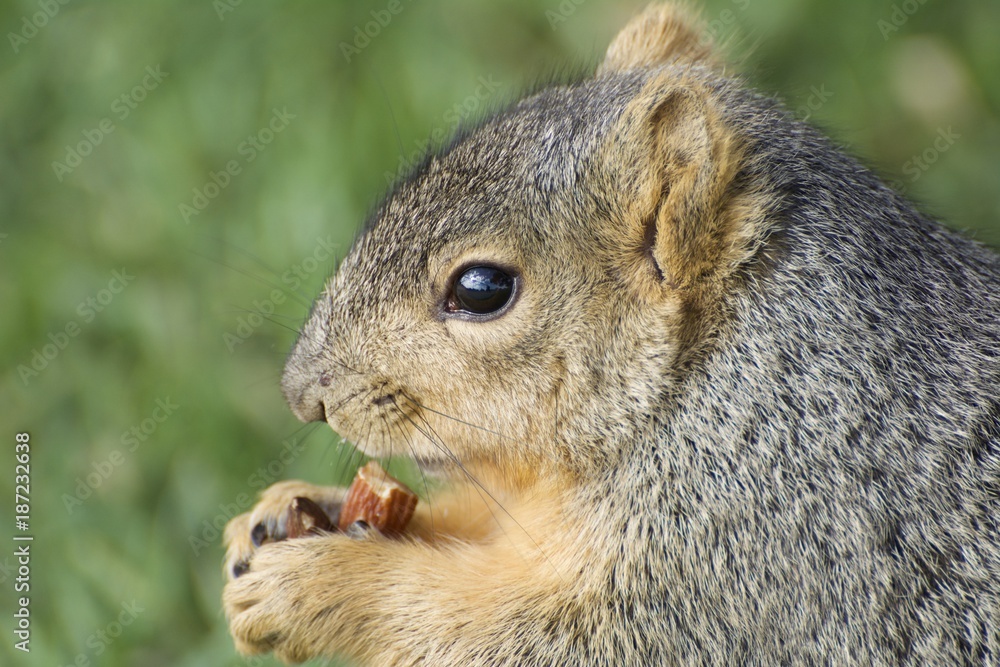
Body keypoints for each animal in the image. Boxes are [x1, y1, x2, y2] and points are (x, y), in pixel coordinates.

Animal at [223, 4, 1000, 664]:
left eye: (481, 288)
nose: (303, 395)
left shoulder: (752, 553)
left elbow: (539, 639)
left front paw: (326, 582)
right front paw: (287, 511)